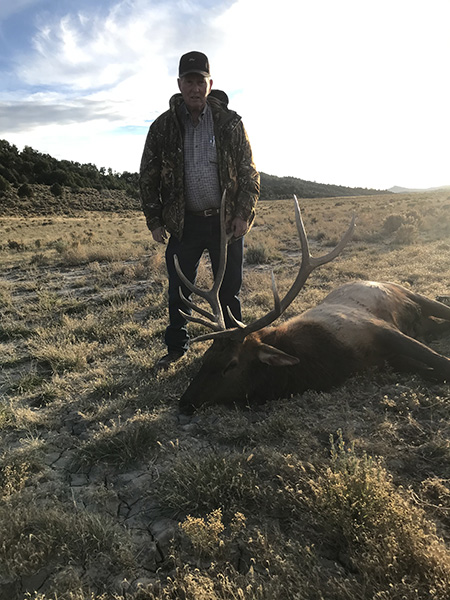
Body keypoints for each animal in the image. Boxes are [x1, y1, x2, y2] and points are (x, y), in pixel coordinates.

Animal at [176, 195, 450, 414]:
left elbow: (440, 361)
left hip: (410, 294)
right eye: (207, 357)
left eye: (231, 364)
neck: (331, 358)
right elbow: (433, 370)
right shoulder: (389, 359)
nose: (184, 402)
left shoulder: (380, 329)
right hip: (423, 321)